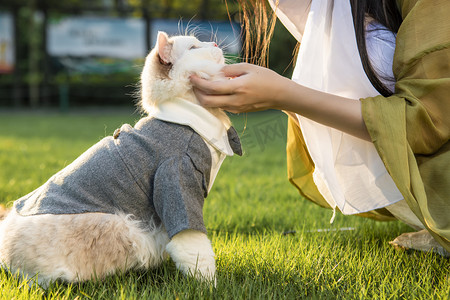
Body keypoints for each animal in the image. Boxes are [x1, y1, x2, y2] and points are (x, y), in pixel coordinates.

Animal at [0, 31, 241, 288]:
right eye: (194, 47)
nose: (215, 43)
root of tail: (8, 264)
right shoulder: (177, 182)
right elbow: (197, 251)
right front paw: (209, 287)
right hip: (121, 225)